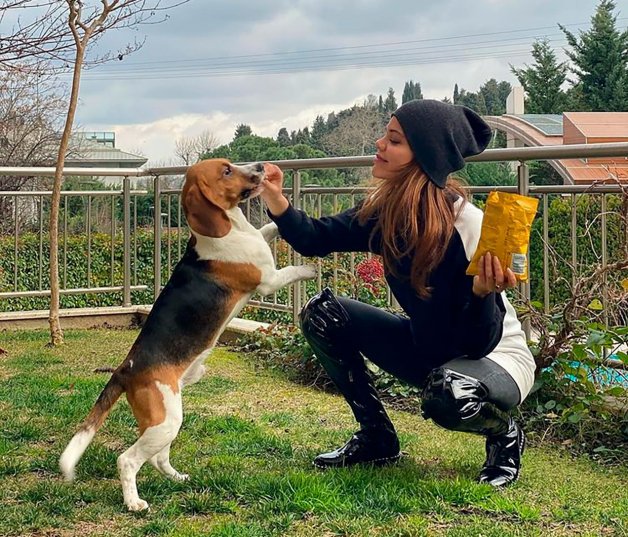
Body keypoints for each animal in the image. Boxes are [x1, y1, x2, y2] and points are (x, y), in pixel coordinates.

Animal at [58, 159, 314, 510]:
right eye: (227, 171)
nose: (262, 166)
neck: (229, 227)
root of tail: (126, 369)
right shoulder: (268, 280)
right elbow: (291, 271)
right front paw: (312, 269)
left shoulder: (259, 241)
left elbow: (268, 229)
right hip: (166, 421)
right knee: (127, 460)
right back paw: (134, 503)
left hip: (164, 420)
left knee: (156, 458)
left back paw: (177, 478)